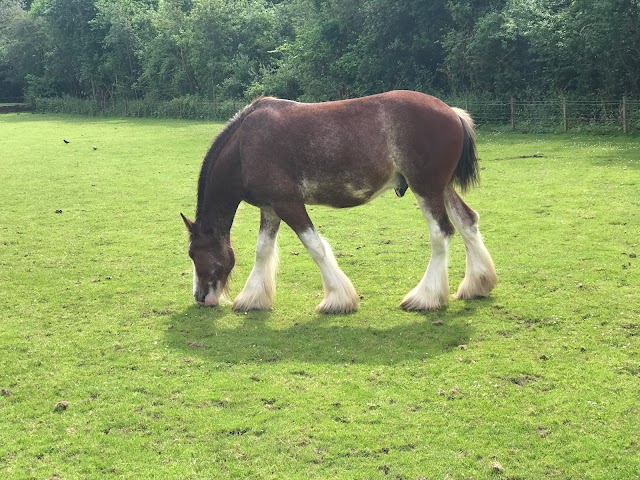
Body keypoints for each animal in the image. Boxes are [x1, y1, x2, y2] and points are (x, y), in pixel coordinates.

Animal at [182, 90, 498, 316]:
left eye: (193, 253)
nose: (200, 297)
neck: (244, 147)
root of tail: (452, 112)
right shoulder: (270, 208)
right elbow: (263, 250)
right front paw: (252, 298)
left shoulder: (288, 204)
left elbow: (315, 247)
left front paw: (338, 299)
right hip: (441, 188)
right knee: (468, 221)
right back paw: (477, 284)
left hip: (427, 189)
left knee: (441, 233)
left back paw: (425, 297)